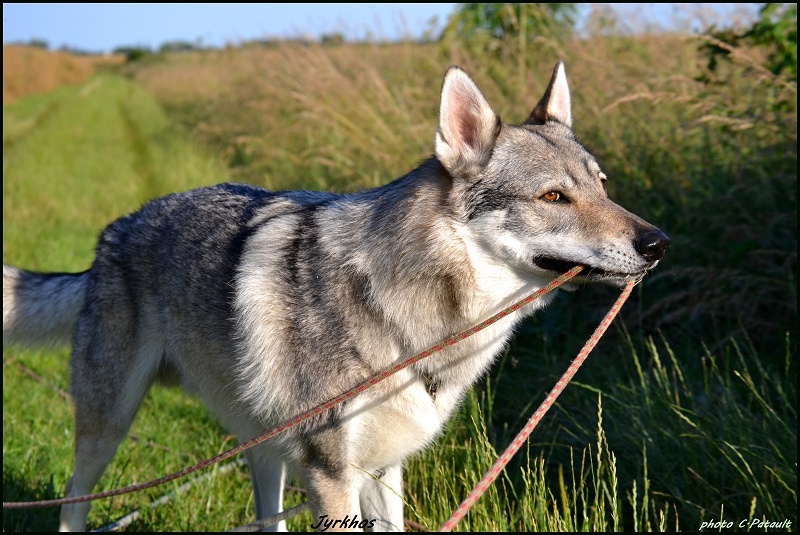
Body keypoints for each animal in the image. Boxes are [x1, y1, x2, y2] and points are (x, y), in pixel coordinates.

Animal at [4, 62, 668, 532]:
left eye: (602, 186)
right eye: (554, 197)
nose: (658, 242)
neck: (414, 324)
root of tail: (112, 233)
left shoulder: (382, 469)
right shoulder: (331, 474)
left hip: (264, 448)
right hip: (107, 427)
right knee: (73, 504)